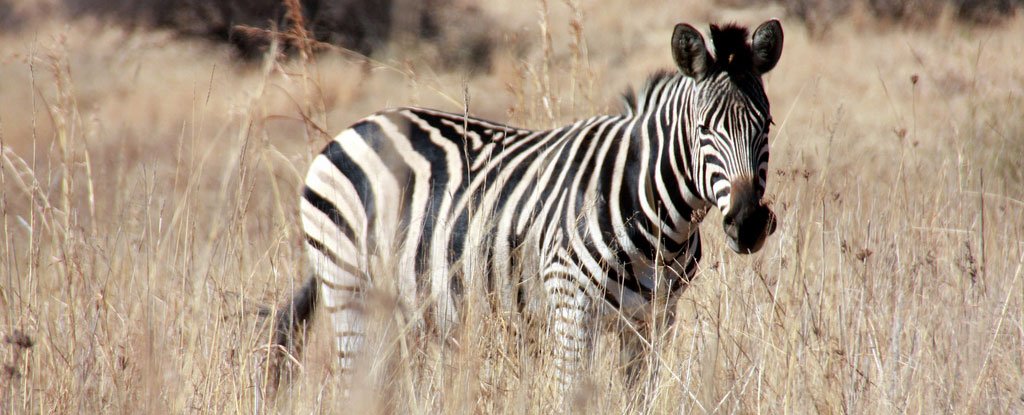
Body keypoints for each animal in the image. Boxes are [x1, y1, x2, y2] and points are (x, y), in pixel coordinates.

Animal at [264, 19, 783, 401]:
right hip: (347, 286)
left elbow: (641, 398)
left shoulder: (654, 320)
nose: (749, 224)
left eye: (767, 126)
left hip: (401, 305)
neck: (656, 219)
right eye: (703, 129)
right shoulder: (570, 306)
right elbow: (569, 395)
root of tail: (355, 127)